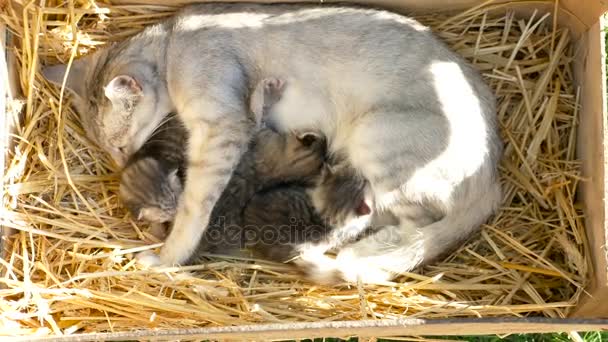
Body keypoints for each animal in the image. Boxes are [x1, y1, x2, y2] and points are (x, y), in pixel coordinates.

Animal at [44, 2, 504, 284]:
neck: (172, 45)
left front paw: (169, 256)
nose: (120, 164)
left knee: (409, 225)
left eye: (120, 147)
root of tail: (493, 179)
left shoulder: (222, 129)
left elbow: (194, 207)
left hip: (378, 144)